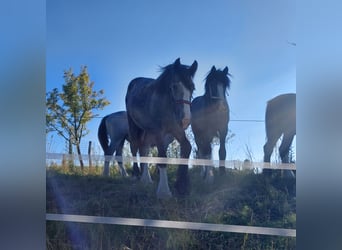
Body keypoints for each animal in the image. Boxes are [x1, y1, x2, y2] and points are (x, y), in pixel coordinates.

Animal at [125, 57, 198, 198]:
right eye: (174, 86)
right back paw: (136, 175)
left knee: (144, 149)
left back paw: (146, 179)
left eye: (192, 88)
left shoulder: (177, 130)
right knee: (134, 147)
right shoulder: (159, 132)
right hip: (134, 126)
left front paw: (182, 186)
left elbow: (187, 147)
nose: (186, 120)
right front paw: (164, 191)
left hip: (147, 131)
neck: (167, 105)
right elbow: (162, 157)